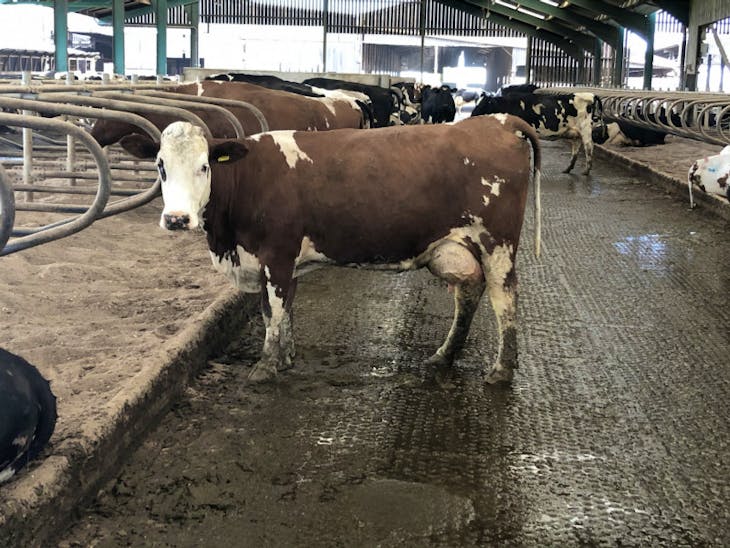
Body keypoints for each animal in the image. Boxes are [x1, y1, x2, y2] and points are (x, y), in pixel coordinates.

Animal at [119, 115, 542, 385]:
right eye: (160, 165)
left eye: (205, 166)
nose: (177, 219)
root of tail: (498, 120)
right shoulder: (281, 260)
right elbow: (281, 309)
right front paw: (286, 358)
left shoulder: (276, 254)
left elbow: (273, 310)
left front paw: (266, 366)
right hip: (458, 246)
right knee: (469, 292)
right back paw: (444, 355)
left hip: (498, 243)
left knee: (505, 298)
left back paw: (501, 371)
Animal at [472, 91, 604, 175]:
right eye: (476, 103)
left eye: (484, 105)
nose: (472, 116)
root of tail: (590, 95)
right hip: (576, 132)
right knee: (576, 149)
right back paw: (568, 169)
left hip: (585, 129)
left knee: (588, 147)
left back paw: (586, 171)